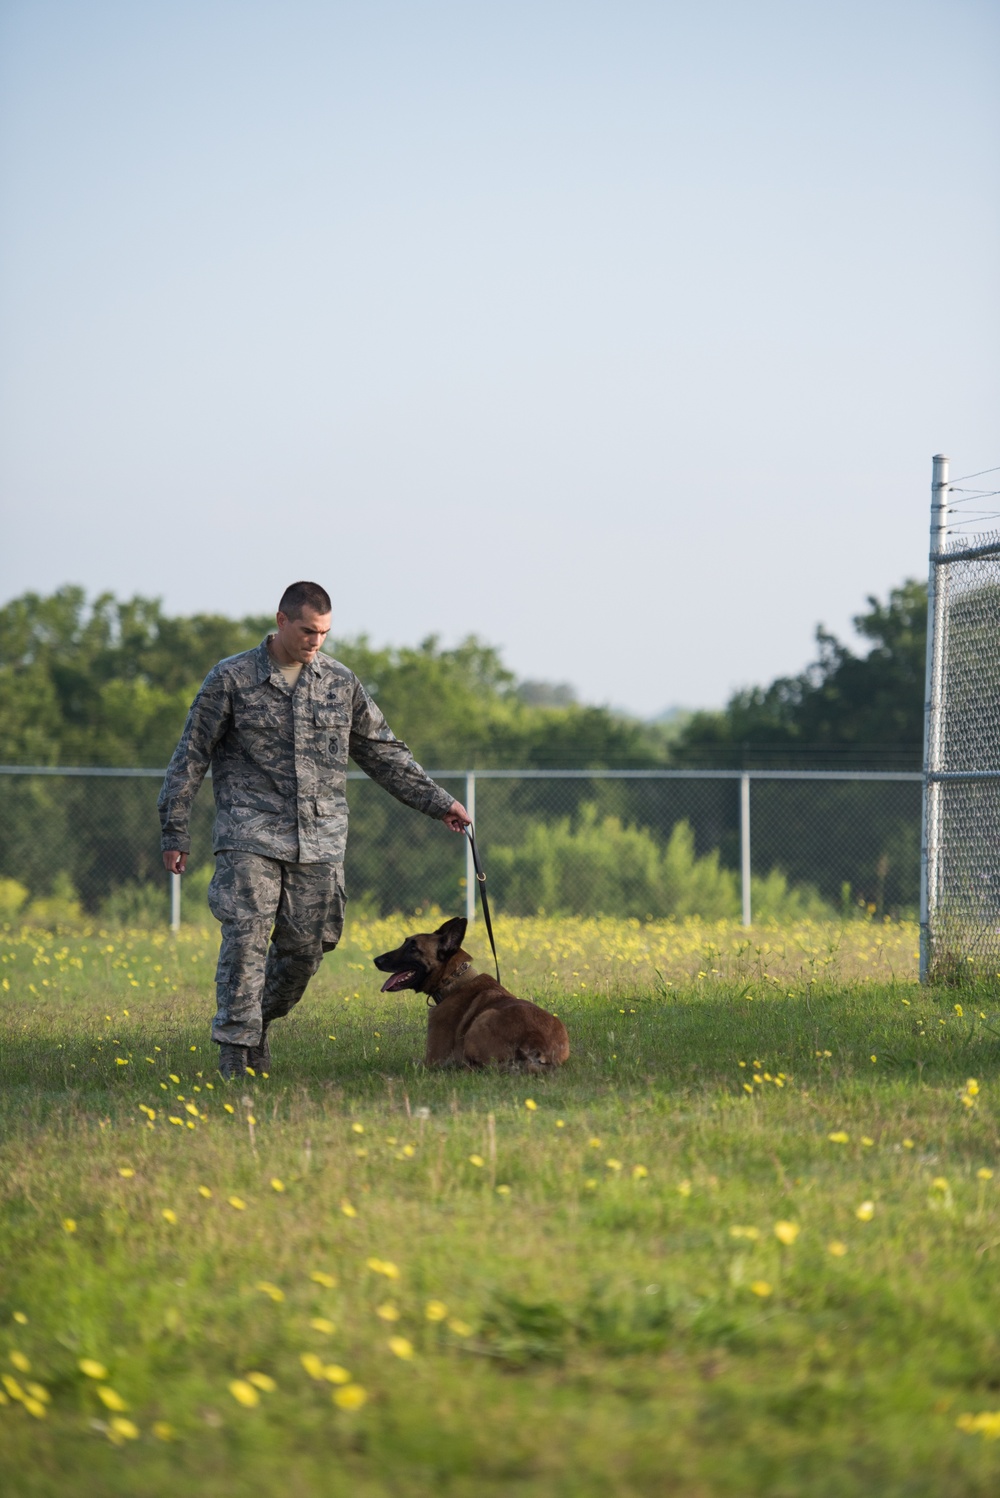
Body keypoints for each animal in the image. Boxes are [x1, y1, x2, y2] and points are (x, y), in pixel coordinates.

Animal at [372, 910, 568, 1066]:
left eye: (413, 948)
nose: (376, 960)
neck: (452, 981)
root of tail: (536, 1039)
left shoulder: (432, 1060)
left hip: (482, 1019)